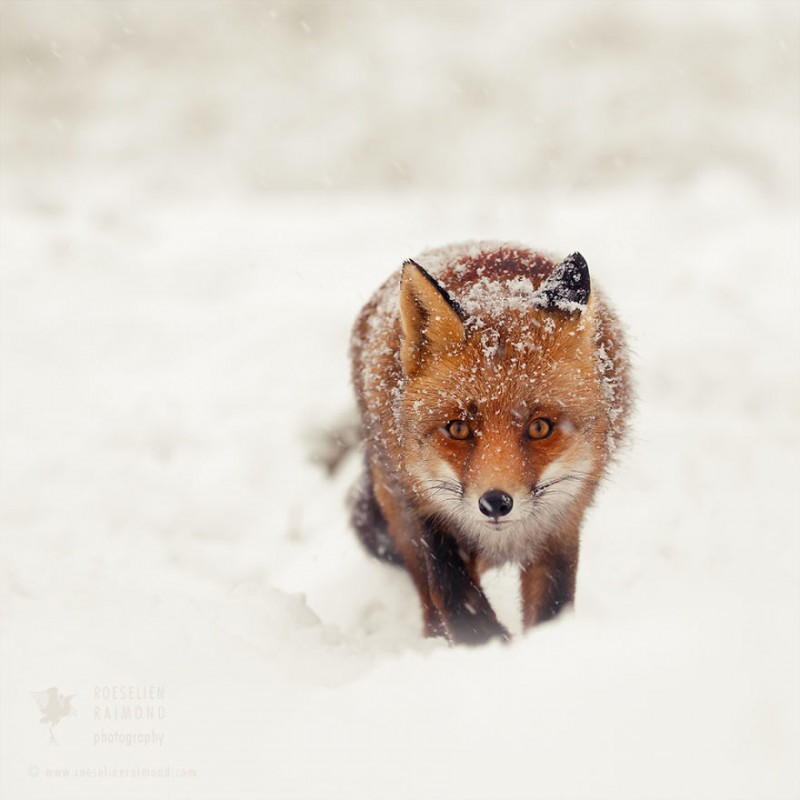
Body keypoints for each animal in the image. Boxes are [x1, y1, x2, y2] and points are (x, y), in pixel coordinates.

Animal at [350, 242, 632, 644]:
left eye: (540, 427)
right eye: (458, 429)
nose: (496, 503)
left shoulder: (562, 524)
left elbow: (551, 610)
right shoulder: (424, 510)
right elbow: (460, 606)